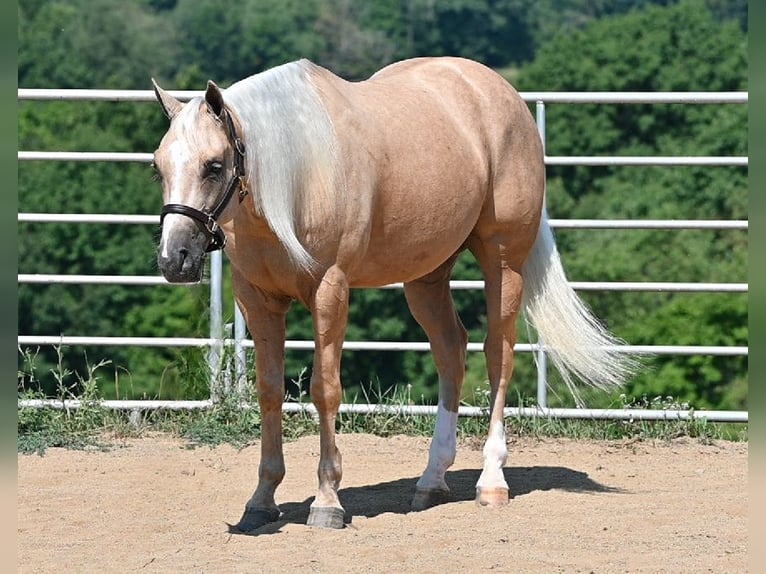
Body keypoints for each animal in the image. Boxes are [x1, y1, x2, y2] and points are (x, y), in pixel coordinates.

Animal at [151, 57, 635, 531]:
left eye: (214, 165)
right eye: (157, 166)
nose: (175, 258)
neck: (299, 177)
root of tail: (500, 92)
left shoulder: (330, 290)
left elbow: (325, 390)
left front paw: (327, 501)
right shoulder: (258, 299)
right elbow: (270, 391)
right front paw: (261, 501)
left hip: (503, 264)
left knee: (498, 354)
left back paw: (491, 481)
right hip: (427, 277)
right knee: (451, 351)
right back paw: (431, 481)